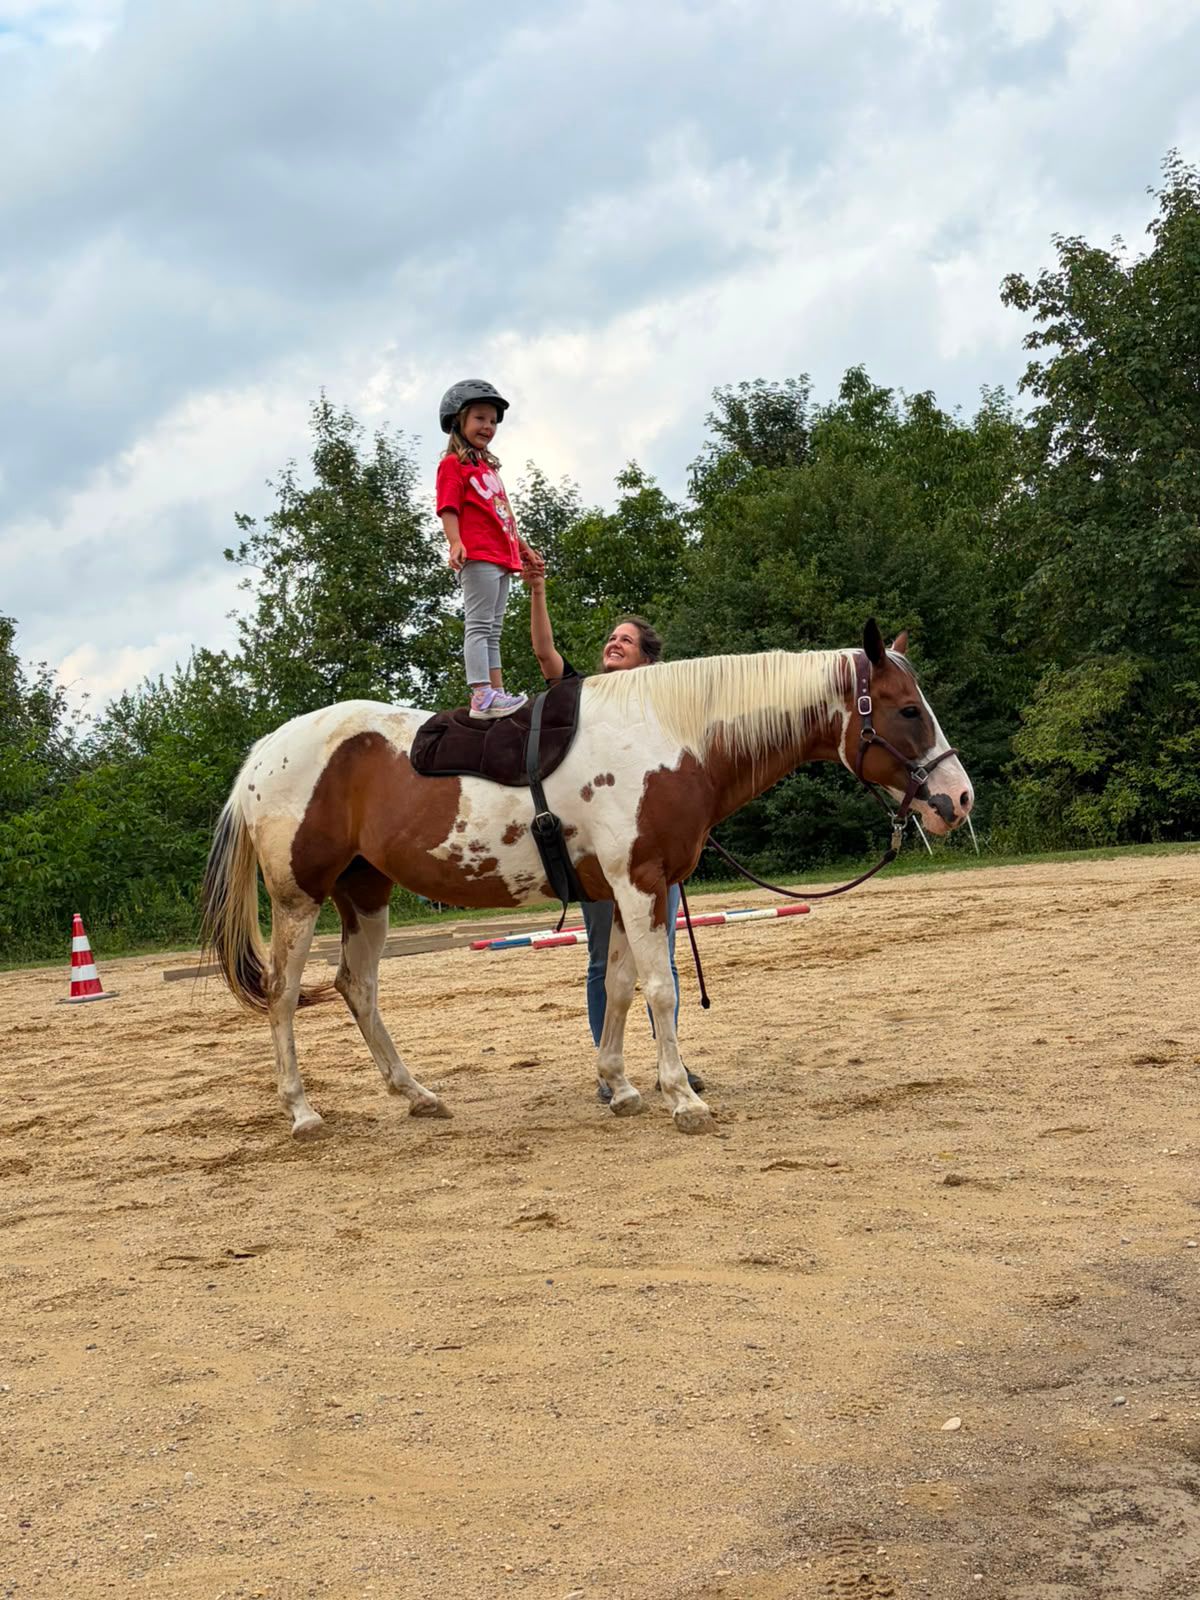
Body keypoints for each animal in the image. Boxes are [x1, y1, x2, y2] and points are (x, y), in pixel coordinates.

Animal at [200, 620, 974, 1139]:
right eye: (908, 709)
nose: (958, 799)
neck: (671, 737)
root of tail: (265, 752)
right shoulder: (640, 881)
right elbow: (661, 990)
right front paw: (682, 1098)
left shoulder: (630, 890)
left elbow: (624, 988)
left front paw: (623, 1086)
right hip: (299, 899)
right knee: (284, 995)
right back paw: (302, 1111)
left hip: (366, 893)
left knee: (356, 987)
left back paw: (417, 1094)